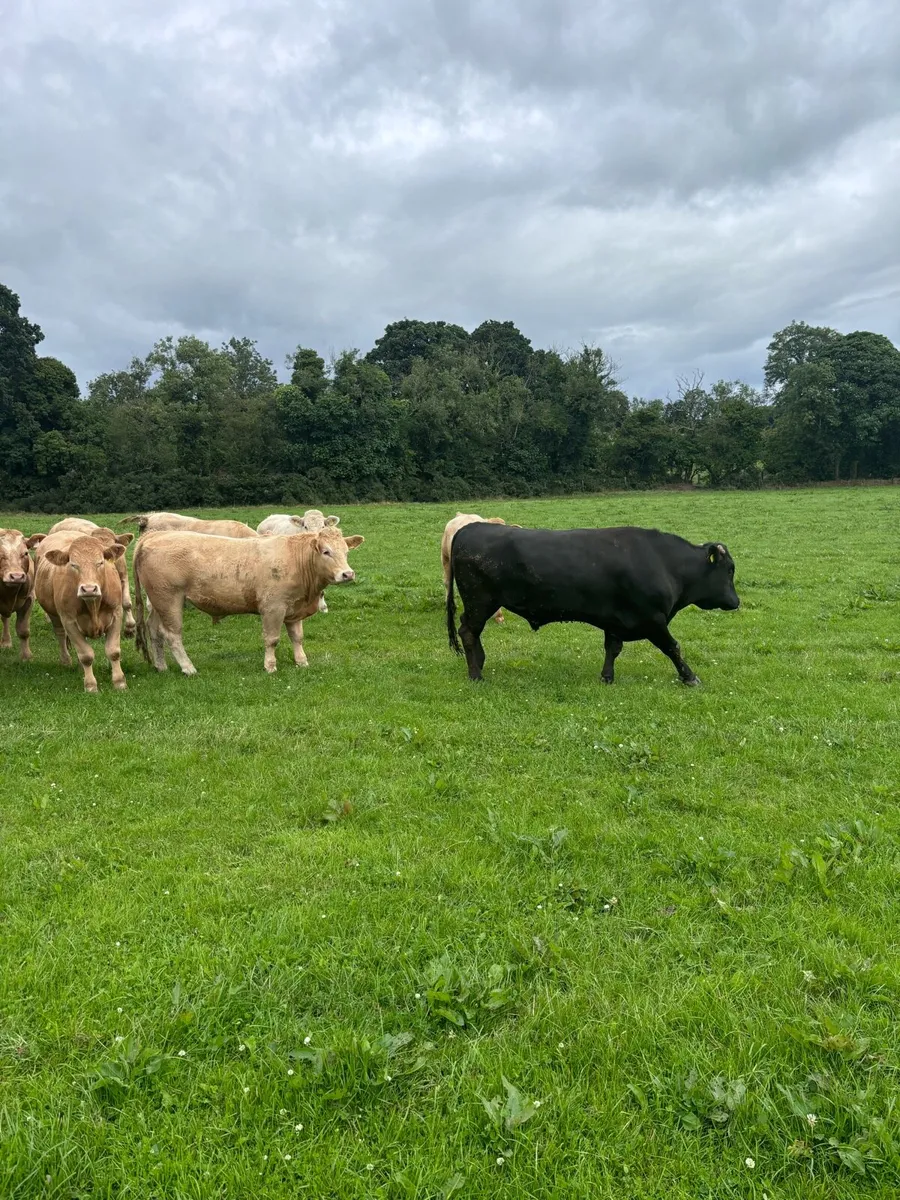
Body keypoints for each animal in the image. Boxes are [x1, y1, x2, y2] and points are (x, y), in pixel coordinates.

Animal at [0, 529, 47, 660]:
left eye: (25, 553)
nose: (16, 576)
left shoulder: (29, 600)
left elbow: (23, 630)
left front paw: (26, 656)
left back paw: (6, 642)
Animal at [33, 533, 128, 692]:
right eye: (73, 564)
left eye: (100, 562)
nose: (89, 589)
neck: (93, 605)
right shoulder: (69, 621)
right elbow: (86, 655)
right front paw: (90, 685)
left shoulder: (116, 614)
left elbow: (114, 652)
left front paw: (119, 682)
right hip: (54, 614)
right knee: (60, 634)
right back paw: (66, 660)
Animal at [132, 526, 364, 675]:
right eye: (326, 551)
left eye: (346, 552)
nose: (347, 574)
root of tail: (154, 535)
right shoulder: (273, 608)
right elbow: (272, 639)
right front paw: (270, 666)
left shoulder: (294, 609)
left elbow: (297, 638)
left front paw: (302, 662)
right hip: (169, 600)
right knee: (172, 635)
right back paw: (188, 668)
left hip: (158, 602)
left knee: (154, 630)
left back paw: (161, 666)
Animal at [446, 524, 740, 686]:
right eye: (729, 570)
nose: (736, 602)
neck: (664, 562)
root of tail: (469, 528)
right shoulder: (653, 620)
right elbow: (673, 647)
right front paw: (690, 677)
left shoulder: (616, 620)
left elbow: (612, 649)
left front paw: (607, 677)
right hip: (481, 602)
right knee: (468, 632)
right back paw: (476, 674)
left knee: (468, 630)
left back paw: (480, 662)